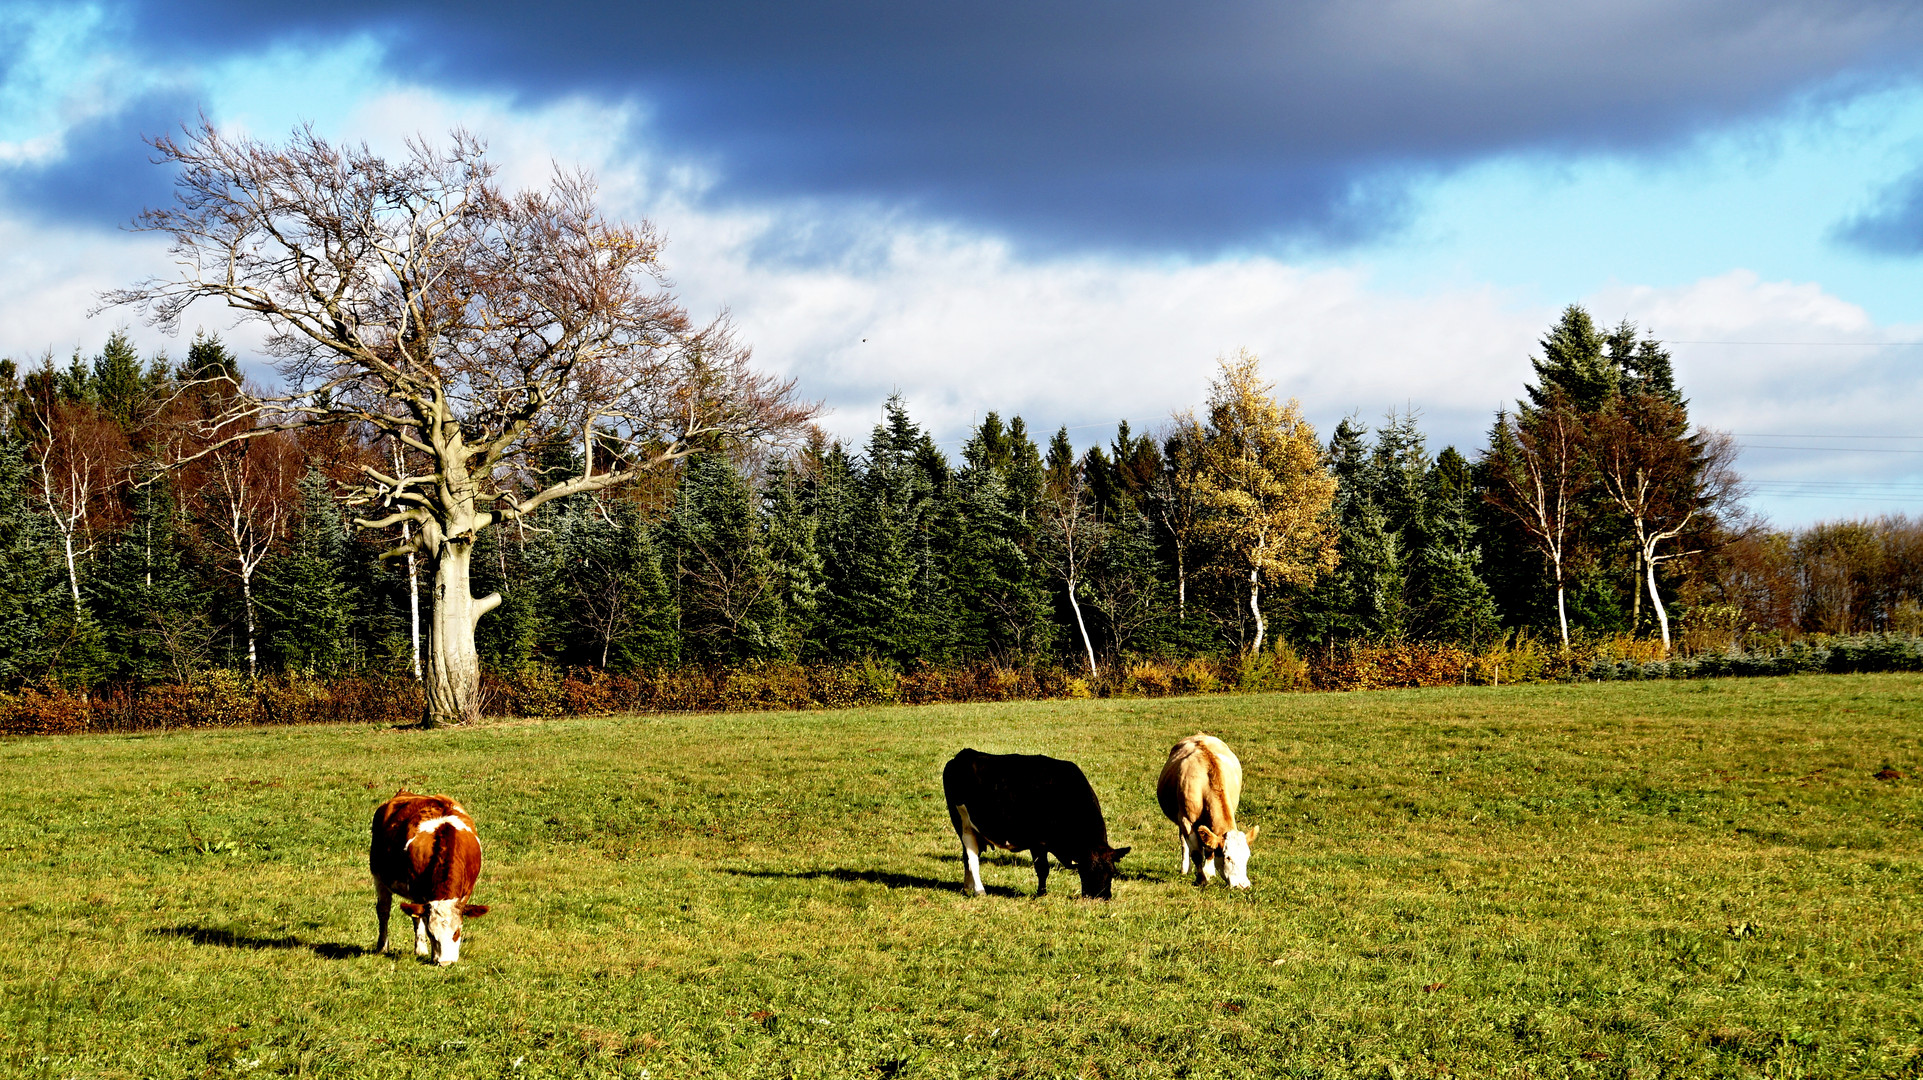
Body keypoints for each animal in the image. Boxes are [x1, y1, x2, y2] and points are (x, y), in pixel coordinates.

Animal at [369, 787, 488, 960]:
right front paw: (422, 950)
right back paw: (384, 946)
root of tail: (404, 792)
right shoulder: (417, 892)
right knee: (384, 910)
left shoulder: (467, 891)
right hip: (378, 876)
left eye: (457, 932)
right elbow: (418, 920)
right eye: (431, 934)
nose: (445, 962)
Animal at [942, 745, 1123, 895]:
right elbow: (1042, 869)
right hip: (963, 825)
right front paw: (1041, 893)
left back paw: (967, 887)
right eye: (1087, 870)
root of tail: (964, 755)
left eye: (1112, 872)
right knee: (972, 858)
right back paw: (979, 890)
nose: (1102, 898)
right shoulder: (1038, 842)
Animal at [1153, 730, 1261, 883]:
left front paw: (1209, 873)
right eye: (1228, 857)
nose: (1244, 885)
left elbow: (1210, 850)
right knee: (1184, 843)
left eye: (1247, 857)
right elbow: (1197, 853)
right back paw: (1185, 869)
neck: (1204, 786)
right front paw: (1201, 879)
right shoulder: (1186, 821)